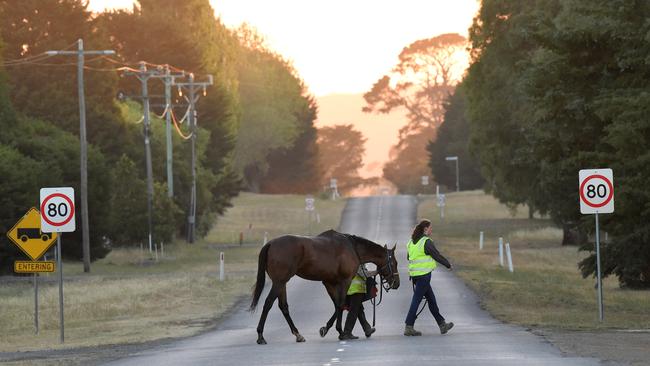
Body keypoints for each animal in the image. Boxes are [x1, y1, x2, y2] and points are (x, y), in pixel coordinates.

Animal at [249, 230, 398, 344]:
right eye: (394, 263)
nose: (396, 283)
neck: (352, 248)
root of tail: (270, 244)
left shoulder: (330, 282)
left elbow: (338, 305)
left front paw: (335, 329)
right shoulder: (344, 281)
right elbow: (341, 304)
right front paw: (338, 331)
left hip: (282, 283)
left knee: (283, 306)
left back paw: (298, 334)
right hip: (279, 282)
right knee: (268, 303)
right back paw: (260, 336)